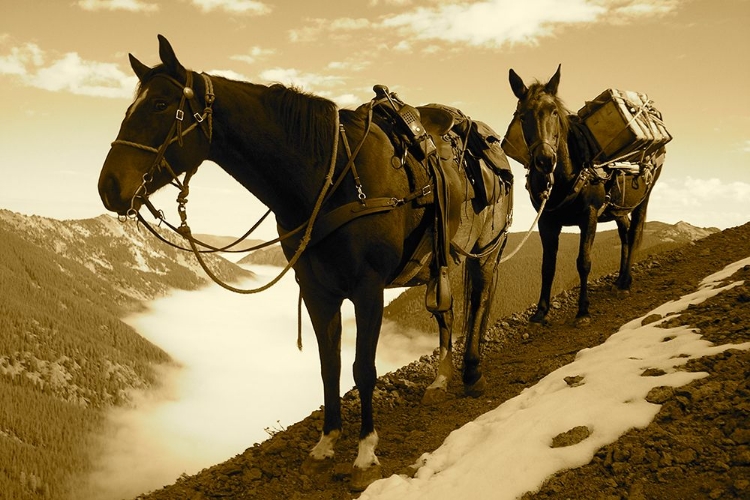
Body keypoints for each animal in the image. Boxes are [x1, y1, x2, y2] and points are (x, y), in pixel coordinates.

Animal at [98, 36, 512, 492]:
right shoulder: (317, 291)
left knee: (480, 302)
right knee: (446, 312)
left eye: (159, 105)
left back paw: (471, 373)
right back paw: (439, 380)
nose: (108, 187)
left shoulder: (368, 289)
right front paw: (325, 445)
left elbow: (363, 369)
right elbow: (329, 366)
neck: (332, 179)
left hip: (487, 251)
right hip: (440, 262)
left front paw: (365, 455)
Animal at [508, 65, 668, 324]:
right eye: (523, 116)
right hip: (618, 208)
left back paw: (626, 283)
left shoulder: (589, 216)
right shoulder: (546, 221)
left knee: (633, 234)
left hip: (644, 198)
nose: (545, 160)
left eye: (554, 112)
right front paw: (541, 312)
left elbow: (583, 262)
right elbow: (547, 266)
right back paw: (619, 280)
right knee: (624, 234)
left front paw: (583, 310)